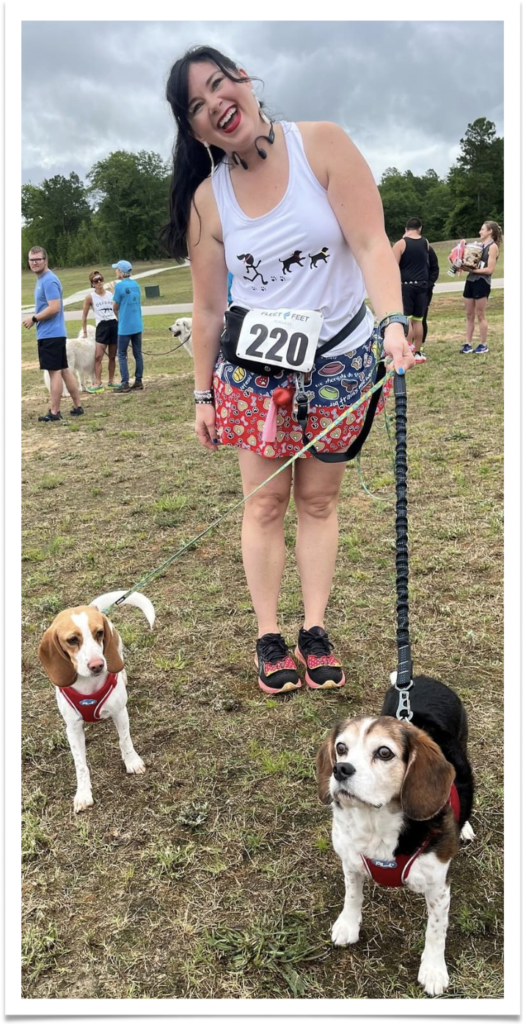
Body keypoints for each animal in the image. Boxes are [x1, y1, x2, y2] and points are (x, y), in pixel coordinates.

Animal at [37, 593, 153, 815]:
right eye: (72, 640)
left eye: (99, 633)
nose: (98, 665)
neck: (88, 687)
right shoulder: (72, 728)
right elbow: (80, 764)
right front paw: (83, 794)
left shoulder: (120, 713)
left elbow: (125, 741)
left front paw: (132, 762)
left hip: (117, 649)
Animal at [315, 675, 474, 995]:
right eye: (341, 747)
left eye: (384, 752)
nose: (340, 769)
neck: (375, 822)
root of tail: (423, 679)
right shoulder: (350, 862)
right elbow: (352, 896)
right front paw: (348, 925)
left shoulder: (438, 887)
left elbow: (436, 929)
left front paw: (434, 970)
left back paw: (464, 827)